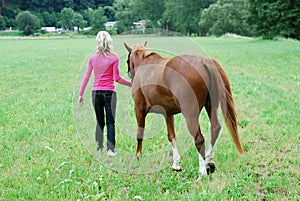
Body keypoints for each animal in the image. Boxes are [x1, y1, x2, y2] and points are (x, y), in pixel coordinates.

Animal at [124, 41, 244, 177]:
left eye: (127, 60)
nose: (130, 76)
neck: (145, 63)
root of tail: (204, 61)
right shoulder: (168, 113)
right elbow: (171, 136)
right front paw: (175, 164)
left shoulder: (139, 109)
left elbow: (140, 134)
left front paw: (138, 155)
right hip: (211, 106)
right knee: (215, 128)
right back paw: (209, 160)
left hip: (190, 113)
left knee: (199, 139)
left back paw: (202, 171)